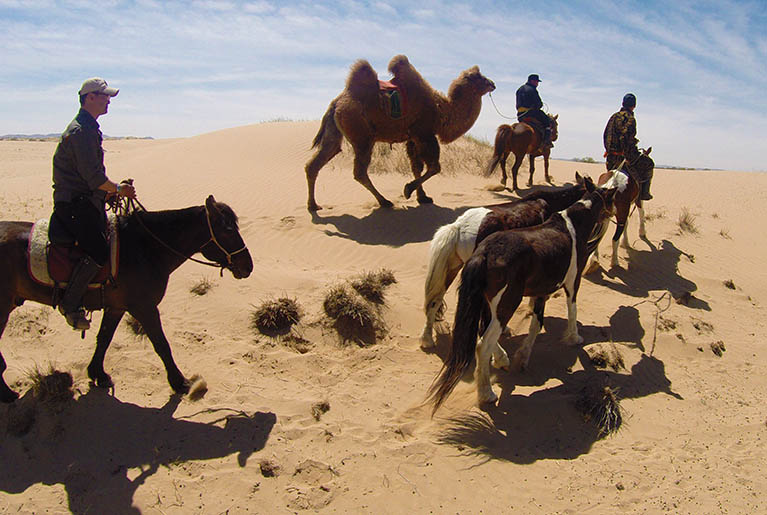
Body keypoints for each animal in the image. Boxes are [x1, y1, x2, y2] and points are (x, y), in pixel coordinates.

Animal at [0, 197, 254, 404]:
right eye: (228, 230)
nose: (248, 266)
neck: (147, 249)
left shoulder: (116, 307)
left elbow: (104, 338)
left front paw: (98, 374)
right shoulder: (144, 308)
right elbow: (161, 344)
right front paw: (179, 381)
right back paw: (7, 394)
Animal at [304, 55, 496, 211]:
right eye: (480, 77)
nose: (493, 84)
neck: (443, 111)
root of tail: (336, 103)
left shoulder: (412, 138)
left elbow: (416, 166)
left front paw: (423, 197)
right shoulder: (424, 133)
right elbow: (434, 167)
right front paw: (408, 190)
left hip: (336, 132)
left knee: (318, 161)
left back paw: (313, 206)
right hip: (362, 136)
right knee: (359, 171)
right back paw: (384, 202)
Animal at [432, 183, 616, 414]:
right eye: (611, 199)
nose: (613, 215)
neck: (571, 225)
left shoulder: (541, 291)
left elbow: (536, 323)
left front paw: (523, 356)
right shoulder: (573, 281)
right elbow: (571, 310)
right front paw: (574, 337)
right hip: (506, 304)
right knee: (483, 343)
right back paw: (487, 392)